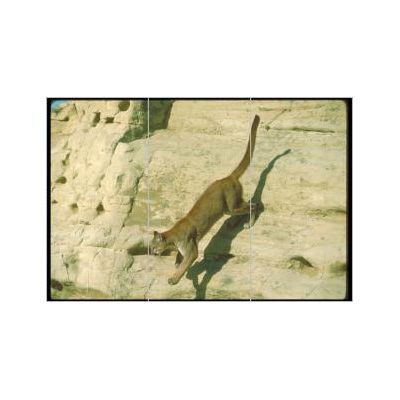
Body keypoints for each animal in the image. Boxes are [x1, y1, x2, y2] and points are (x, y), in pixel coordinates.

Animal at [150, 115, 260, 285]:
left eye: (153, 247)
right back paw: (233, 223)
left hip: (230, 206)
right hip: (229, 208)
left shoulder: (191, 250)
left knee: (253, 205)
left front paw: (175, 278)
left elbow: (186, 265)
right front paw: (176, 262)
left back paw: (249, 223)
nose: (151, 253)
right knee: (244, 206)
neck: (173, 236)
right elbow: (180, 258)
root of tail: (228, 177)